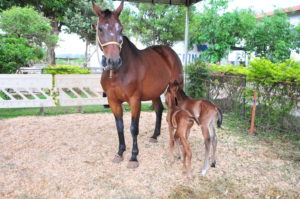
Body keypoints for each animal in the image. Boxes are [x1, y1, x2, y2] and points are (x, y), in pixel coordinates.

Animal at [93, 0, 183, 168]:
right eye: (100, 28)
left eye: (120, 28)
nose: (114, 61)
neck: (119, 73)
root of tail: (169, 52)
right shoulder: (113, 101)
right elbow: (120, 127)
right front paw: (120, 152)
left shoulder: (135, 100)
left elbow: (134, 128)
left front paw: (133, 157)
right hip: (155, 92)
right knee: (159, 109)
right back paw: (154, 136)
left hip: (176, 88)